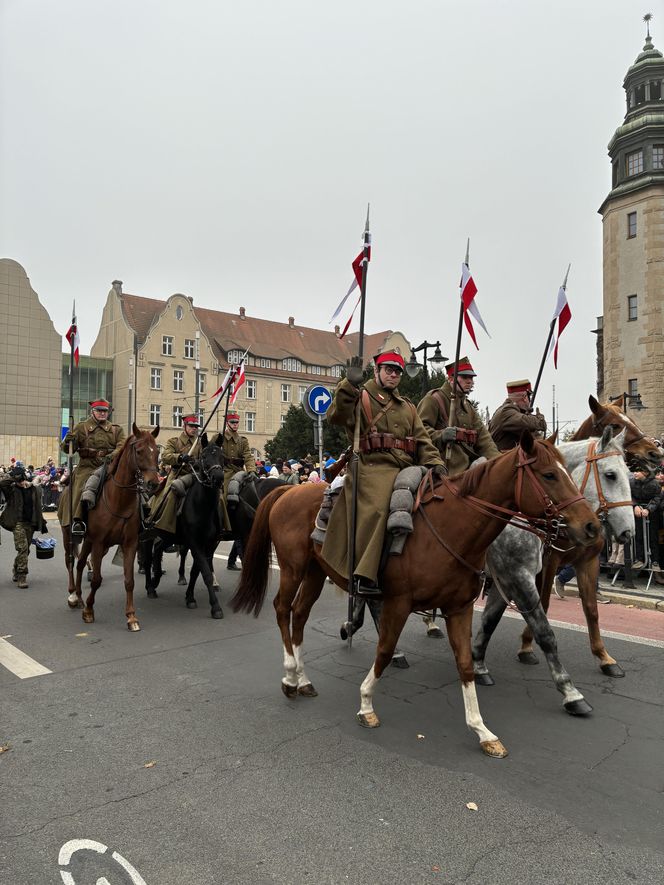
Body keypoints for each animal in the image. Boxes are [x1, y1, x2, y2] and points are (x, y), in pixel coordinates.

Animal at [68, 424, 160, 632]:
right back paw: (74, 596)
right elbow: (97, 579)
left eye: (157, 452)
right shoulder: (99, 542)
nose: (153, 483)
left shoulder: (130, 544)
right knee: (73, 562)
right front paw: (89, 611)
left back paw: (79, 597)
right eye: (139, 451)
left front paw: (131, 617)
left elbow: (129, 581)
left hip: (91, 542)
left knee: (80, 563)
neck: (119, 501)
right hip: (79, 538)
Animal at [233, 432, 600, 756]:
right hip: (293, 568)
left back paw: (304, 680)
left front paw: (482, 730)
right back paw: (289, 677)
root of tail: (286, 491)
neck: (451, 528)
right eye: (549, 474)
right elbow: (384, 650)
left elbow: (465, 664)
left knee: (299, 615)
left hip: (315, 572)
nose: (593, 526)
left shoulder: (459, 608)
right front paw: (366, 704)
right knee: (282, 609)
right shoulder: (399, 603)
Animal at [470, 432, 636, 716]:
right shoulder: (529, 572)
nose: (628, 532)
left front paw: (605, 659)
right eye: (611, 475)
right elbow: (543, 619)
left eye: (629, 473)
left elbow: (590, 609)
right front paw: (567, 689)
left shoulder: (584, 562)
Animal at [520, 398, 660, 672]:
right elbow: (543, 602)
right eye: (615, 424)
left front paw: (604, 656)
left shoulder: (588, 561)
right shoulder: (549, 561)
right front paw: (527, 644)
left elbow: (591, 608)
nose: (655, 452)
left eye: (631, 419)